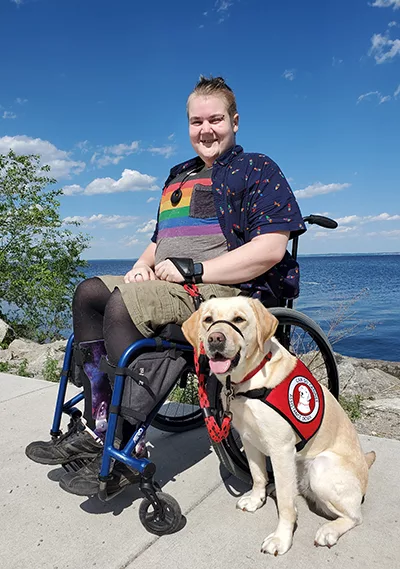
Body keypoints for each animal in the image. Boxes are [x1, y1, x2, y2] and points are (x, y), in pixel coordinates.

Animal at [182, 298, 376, 556]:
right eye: (208, 320)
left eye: (239, 319)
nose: (215, 339)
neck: (249, 381)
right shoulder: (248, 439)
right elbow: (257, 476)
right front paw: (256, 499)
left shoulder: (281, 449)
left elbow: (285, 505)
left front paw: (281, 539)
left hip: (321, 467)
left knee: (355, 516)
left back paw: (329, 530)